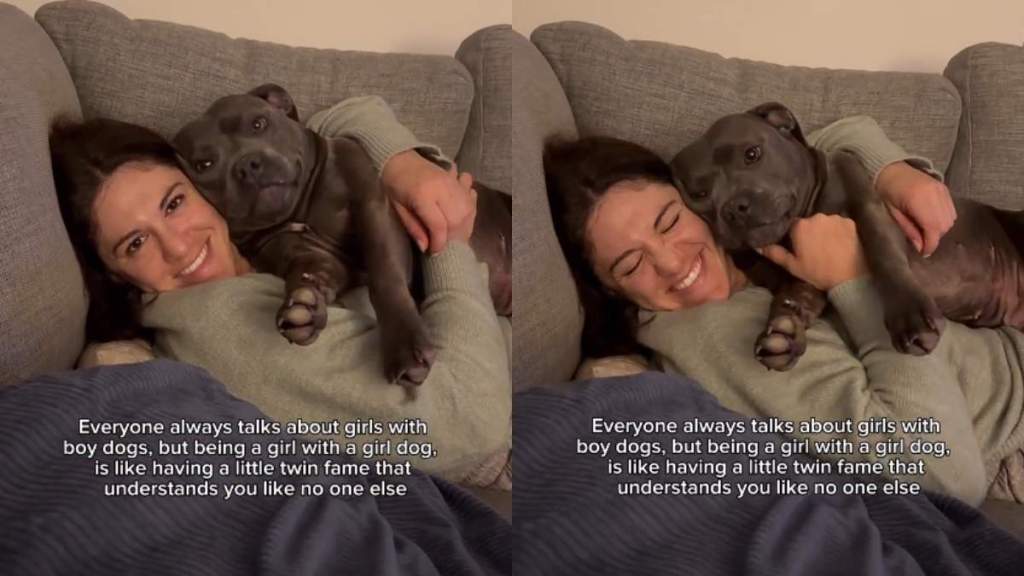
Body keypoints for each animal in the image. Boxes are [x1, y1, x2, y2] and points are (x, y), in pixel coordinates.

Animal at [670, 102, 1024, 370]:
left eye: (753, 154)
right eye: (699, 193)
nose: (734, 208)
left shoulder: (868, 206)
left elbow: (882, 251)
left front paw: (909, 316)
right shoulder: (803, 276)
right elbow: (794, 296)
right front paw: (785, 330)